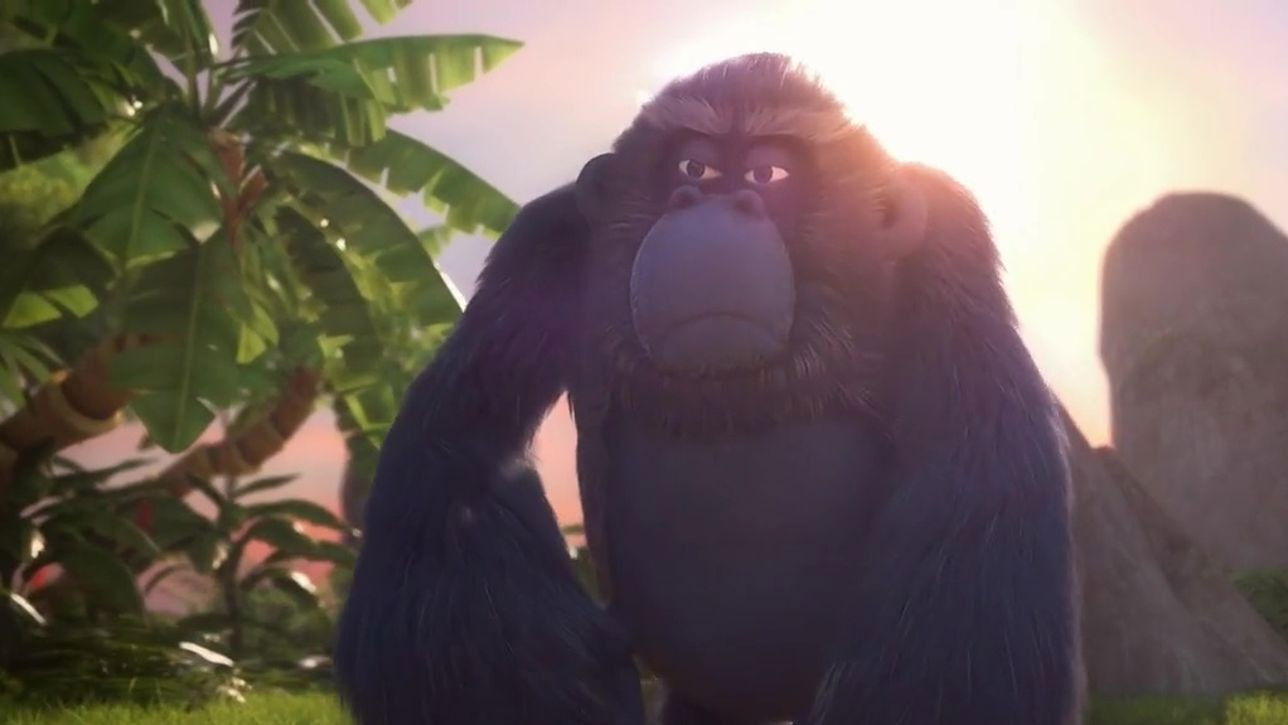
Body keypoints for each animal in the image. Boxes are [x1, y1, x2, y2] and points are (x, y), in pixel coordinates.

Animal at [335, 53, 1081, 725]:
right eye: (692, 167)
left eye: (769, 173)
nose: (713, 201)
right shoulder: (546, 240)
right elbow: (461, 454)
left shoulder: (952, 244)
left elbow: (977, 478)